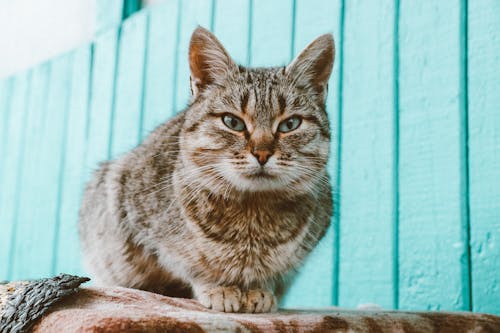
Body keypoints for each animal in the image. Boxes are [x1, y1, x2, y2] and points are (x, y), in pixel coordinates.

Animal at [78, 26, 334, 312]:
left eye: (290, 124)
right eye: (232, 122)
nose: (262, 153)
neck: (252, 212)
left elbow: (272, 275)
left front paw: (260, 290)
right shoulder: (139, 223)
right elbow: (193, 266)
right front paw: (219, 288)